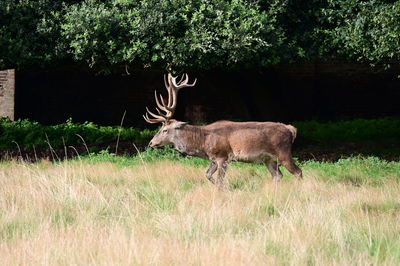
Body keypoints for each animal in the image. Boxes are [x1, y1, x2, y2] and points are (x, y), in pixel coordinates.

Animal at [144, 72, 304, 189]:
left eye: (165, 130)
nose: (151, 142)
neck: (203, 142)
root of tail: (291, 129)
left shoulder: (223, 156)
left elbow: (219, 179)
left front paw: (224, 190)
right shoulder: (213, 159)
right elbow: (207, 175)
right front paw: (225, 189)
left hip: (283, 152)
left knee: (298, 172)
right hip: (268, 159)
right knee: (278, 175)